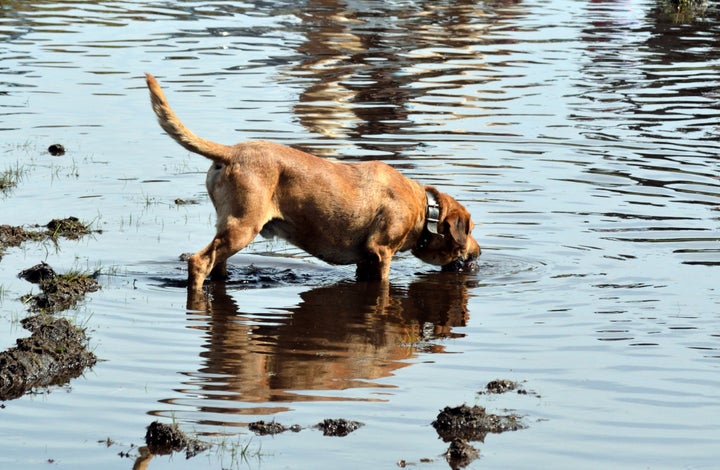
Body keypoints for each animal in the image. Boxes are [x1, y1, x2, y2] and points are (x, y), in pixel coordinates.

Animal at [146, 73, 480, 294]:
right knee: (198, 262)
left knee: (216, 265)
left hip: (229, 231)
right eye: (470, 230)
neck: (425, 212)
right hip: (242, 227)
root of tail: (230, 152)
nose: (478, 253)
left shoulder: (365, 260)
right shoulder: (381, 252)